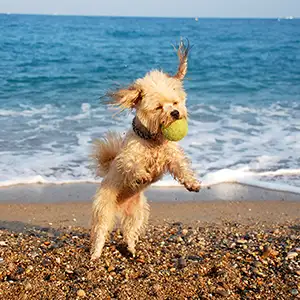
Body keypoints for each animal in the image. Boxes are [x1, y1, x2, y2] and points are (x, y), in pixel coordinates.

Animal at [90, 39, 200, 260]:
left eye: (175, 102)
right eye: (158, 107)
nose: (175, 113)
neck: (154, 139)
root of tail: (120, 207)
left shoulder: (172, 158)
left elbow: (182, 168)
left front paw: (191, 183)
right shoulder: (128, 158)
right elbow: (132, 165)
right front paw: (141, 175)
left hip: (137, 213)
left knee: (129, 232)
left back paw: (131, 250)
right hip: (104, 209)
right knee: (101, 233)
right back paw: (95, 255)